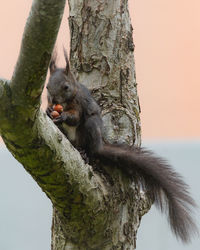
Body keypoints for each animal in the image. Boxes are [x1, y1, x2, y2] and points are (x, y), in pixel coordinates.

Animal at [46, 49, 198, 243]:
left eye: (65, 87)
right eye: (46, 87)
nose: (53, 99)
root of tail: (99, 144)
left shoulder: (78, 104)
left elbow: (74, 116)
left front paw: (64, 116)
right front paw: (48, 111)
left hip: (90, 130)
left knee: (90, 148)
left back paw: (85, 153)